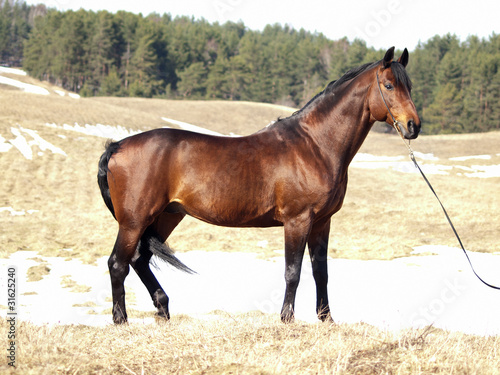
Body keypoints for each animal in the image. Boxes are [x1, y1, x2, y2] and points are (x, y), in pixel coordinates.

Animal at [97, 46, 422, 324]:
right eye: (389, 85)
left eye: (409, 86)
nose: (413, 126)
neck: (315, 145)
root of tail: (117, 146)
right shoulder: (297, 220)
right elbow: (293, 272)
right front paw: (287, 319)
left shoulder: (322, 222)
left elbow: (321, 273)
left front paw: (326, 319)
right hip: (134, 220)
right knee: (118, 263)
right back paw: (121, 320)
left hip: (166, 216)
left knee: (139, 260)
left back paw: (163, 310)